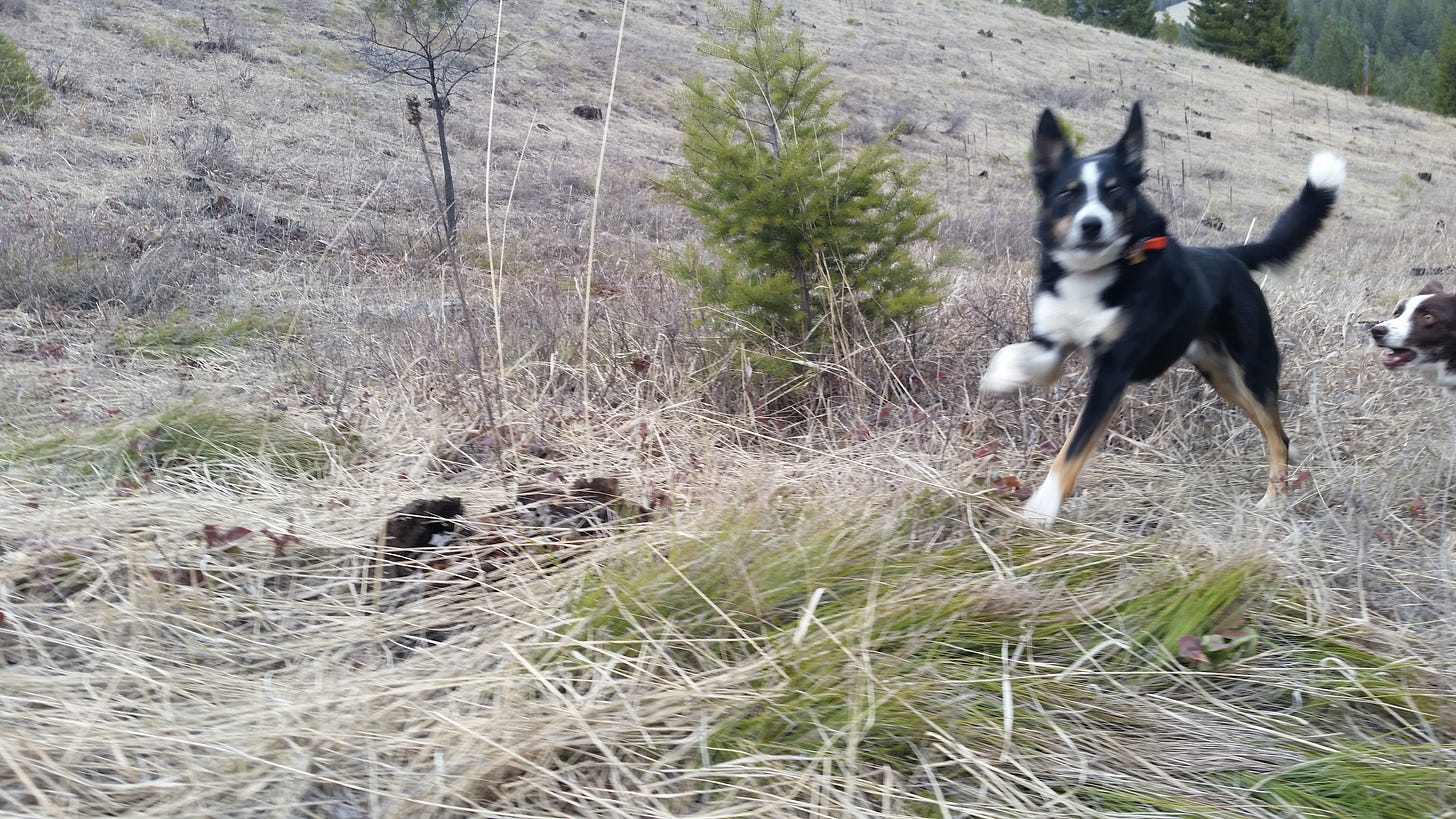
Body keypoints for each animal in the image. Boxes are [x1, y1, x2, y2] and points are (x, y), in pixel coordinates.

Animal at [978, 102, 1339, 521]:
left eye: (1114, 190)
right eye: (1068, 193)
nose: (1091, 225)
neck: (1094, 273)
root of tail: (1229, 255)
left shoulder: (1112, 373)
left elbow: (1072, 450)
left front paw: (1042, 508)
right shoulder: (1052, 343)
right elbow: (1015, 355)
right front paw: (1001, 377)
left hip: (1253, 367)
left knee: (1274, 431)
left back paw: (1274, 499)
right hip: (1221, 376)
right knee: (1274, 429)